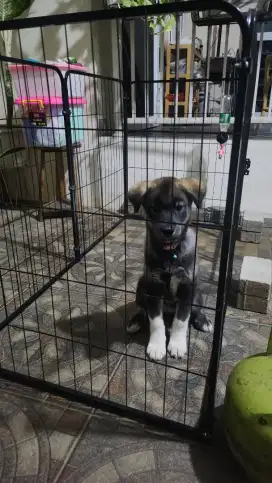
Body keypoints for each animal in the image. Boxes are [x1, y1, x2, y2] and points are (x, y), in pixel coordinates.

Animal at [126, 176, 211, 362]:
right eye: (153, 209)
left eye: (179, 207)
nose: (168, 230)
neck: (171, 251)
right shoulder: (154, 285)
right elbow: (156, 321)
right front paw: (157, 346)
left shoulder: (187, 285)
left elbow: (182, 320)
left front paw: (177, 345)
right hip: (141, 285)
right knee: (142, 308)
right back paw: (135, 321)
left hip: (198, 291)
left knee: (196, 310)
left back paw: (203, 320)